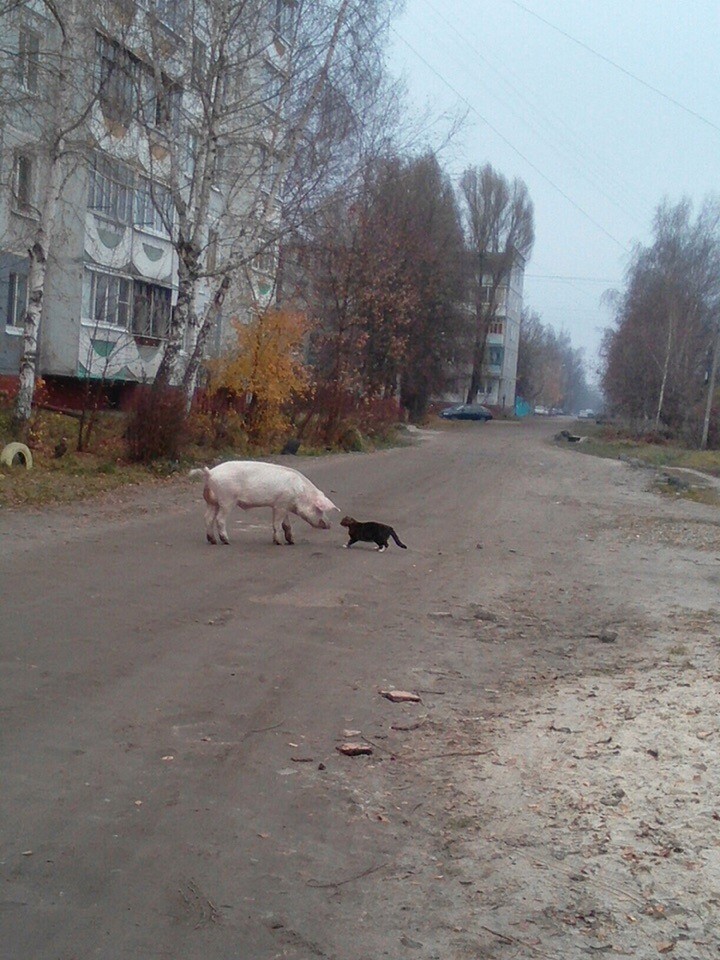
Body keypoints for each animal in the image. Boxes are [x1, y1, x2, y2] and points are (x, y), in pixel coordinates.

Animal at [190, 460, 338, 544]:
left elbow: (286, 525)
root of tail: (210, 473)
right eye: (320, 509)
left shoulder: (284, 505)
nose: (329, 524)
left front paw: (292, 541)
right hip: (227, 499)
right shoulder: (280, 505)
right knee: (219, 519)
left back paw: (212, 540)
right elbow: (277, 523)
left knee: (207, 518)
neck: (301, 493)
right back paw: (226, 541)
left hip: (212, 502)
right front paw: (279, 543)